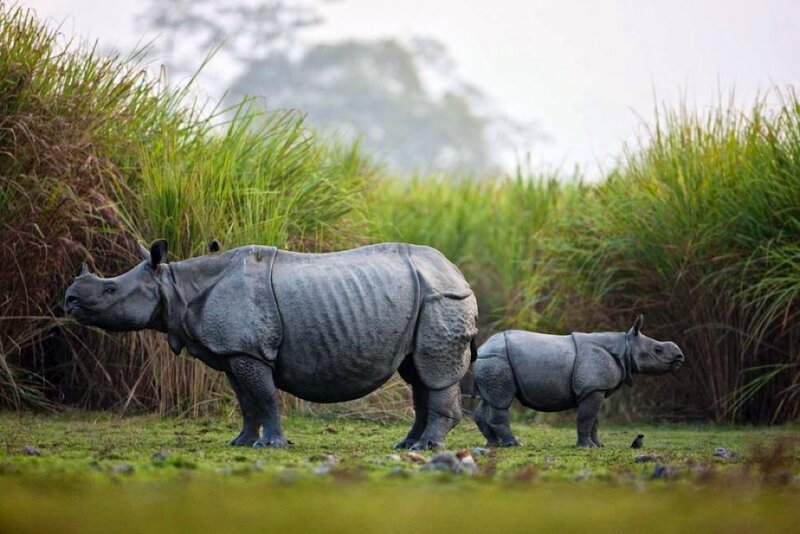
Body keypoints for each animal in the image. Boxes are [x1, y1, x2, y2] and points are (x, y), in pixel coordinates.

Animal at [65, 240, 478, 450]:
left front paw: (272, 446)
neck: (176, 286)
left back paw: (427, 448)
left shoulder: (248, 350)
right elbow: (246, 401)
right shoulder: (233, 351)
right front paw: (240, 443)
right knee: (417, 373)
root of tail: (458, 272)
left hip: (443, 297)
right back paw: (406, 446)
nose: (69, 299)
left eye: (110, 289)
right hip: (427, 296)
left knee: (433, 371)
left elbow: (264, 397)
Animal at [472, 315, 684, 448]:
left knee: (488, 400)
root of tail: (481, 348)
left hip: (490, 361)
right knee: (501, 401)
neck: (625, 347)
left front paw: (599, 445)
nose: (680, 356)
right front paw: (586, 447)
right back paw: (514, 445)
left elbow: (595, 419)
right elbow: (586, 417)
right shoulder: (592, 387)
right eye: (658, 350)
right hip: (497, 360)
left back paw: (493, 444)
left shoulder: (595, 388)